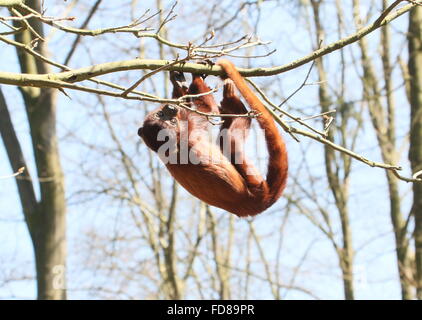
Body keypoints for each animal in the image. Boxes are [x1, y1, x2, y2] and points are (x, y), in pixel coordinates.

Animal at [138, 58, 286, 216]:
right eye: (171, 121)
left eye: (160, 115)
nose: (170, 108)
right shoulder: (190, 130)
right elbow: (208, 108)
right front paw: (196, 78)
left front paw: (179, 83)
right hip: (255, 183)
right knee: (230, 141)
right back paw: (233, 104)